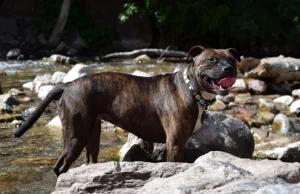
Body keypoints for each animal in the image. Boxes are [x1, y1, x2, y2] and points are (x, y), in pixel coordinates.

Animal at [14, 45, 239, 176]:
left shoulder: (179, 143)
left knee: (89, 160)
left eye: (231, 60)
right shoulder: (174, 143)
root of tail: (68, 85)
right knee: (59, 167)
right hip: (75, 136)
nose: (229, 69)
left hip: (91, 135)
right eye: (212, 60)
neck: (191, 88)